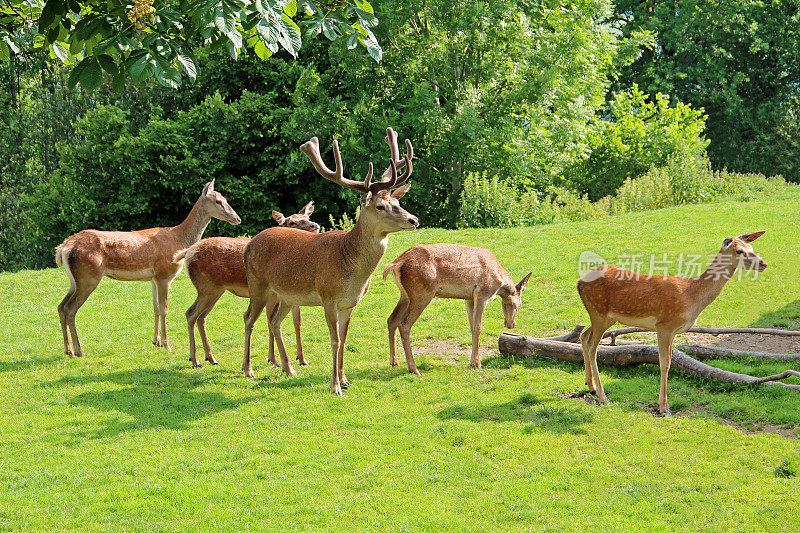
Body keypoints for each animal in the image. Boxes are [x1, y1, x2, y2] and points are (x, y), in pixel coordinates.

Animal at [55, 180, 239, 358]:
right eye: (218, 201)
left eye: (225, 199)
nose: (237, 218)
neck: (179, 240)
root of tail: (64, 247)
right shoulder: (164, 274)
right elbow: (164, 309)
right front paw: (166, 344)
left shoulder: (153, 278)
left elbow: (155, 307)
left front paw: (156, 341)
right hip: (88, 277)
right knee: (70, 308)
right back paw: (79, 350)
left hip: (75, 280)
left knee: (61, 306)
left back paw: (68, 350)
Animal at [177, 202, 320, 368]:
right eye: (291, 222)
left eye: (307, 217)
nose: (314, 225)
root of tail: (188, 252)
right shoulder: (273, 293)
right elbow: (270, 320)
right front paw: (273, 360)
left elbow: (297, 322)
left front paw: (302, 359)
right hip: (206, 287)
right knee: (191, 314)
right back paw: (195, 360)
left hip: (215, 290)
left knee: (201, 317)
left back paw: (210, 358)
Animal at [242, 128, 418, 394]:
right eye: (380, 206)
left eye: (397, 202)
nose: (413, 220)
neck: (351, 271)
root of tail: (249, 245)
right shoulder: (328, 297)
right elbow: (334, 340)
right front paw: (335, 386)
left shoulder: (350, 302)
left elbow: (344, 339)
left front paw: (345, 379)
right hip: (258, 284)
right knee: (249, 319)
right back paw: (248, 369)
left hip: (285, 294)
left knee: (274, 321)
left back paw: (288, 368)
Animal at [382, 243, 532, 372]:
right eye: (520, 304)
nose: (511, 324)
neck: (500, 282)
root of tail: (395, 264)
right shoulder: (482, 294)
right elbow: (478, 327)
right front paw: (477, 364)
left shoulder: (469, 298)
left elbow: (472, 327)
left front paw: (472, 362)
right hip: (422, 293)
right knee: (404, 324)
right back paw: (413, 369)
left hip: (405, 295)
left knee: (392, 319)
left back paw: (394, 361)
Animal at [576, 231, 768, 414]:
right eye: (739, 251)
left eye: (751, 248)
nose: (763, 264)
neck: (691, 296)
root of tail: (578, 282)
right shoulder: (664, 325)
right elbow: (664, 363)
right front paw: (663, 407)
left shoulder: (674, 330)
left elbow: (669, 360)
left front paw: (664, 404)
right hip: (599, 313)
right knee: (593, 347)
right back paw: (602, 396)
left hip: (605, 317)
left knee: (584, 336)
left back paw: (590, 386)